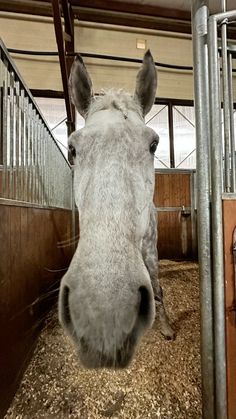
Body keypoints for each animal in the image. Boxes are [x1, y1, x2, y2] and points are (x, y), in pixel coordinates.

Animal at [58, 50, 173, 370]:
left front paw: (167, 328)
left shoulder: (150, 251)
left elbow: (158, 289)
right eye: (72, 148)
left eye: (154, 145)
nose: (103, 306)